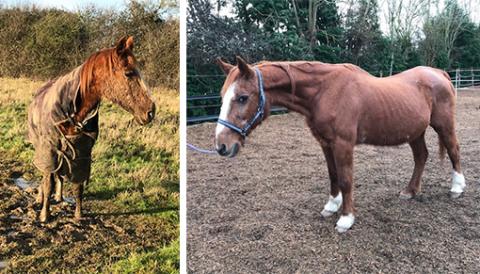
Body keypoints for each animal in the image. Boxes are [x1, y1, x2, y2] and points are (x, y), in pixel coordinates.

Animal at [27, 35, 156, 222]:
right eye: (128, 73)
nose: (151, 111)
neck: (72, 111)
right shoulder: (50, 149)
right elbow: (48, 182)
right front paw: (45, 215)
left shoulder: (81, 152)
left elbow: (78, 185)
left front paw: (78, 215)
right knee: (46, 174)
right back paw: (41, 197)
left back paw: (59, 196)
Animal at [216, 56, 466, 232]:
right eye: (222, 96)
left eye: (242, 97)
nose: (221, 145)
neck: (325, 90)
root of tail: (438, 73)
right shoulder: (326, 143)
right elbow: (333, 175)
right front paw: (331, 206)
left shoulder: (343, 144)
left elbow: (346, 179)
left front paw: (346, 219)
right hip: (414, 131)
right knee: (421, 156)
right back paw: (410, 191)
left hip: (443, 125)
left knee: (453, 150)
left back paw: (457, 187)